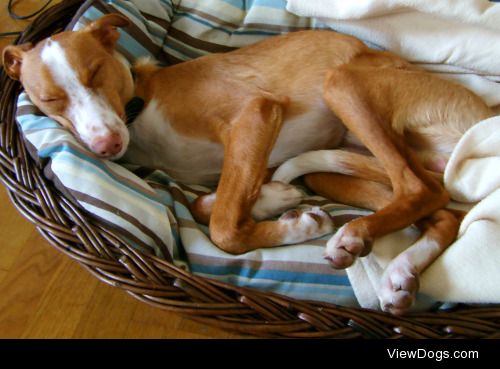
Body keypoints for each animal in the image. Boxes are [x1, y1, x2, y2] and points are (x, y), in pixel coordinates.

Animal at [1, 14, 492, 314]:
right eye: (50, 100)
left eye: (95, 73)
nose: (104, 146)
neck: (140, 108)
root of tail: (485, 114)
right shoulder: (238, 161)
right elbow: (212, 204)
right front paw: (273, 200)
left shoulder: (255, 114)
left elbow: (223, 227)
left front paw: (299, 227)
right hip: (340, 169)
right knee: (441, 211)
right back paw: (400, 274)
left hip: (342, 84)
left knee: (420, 188)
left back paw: (353, 235)